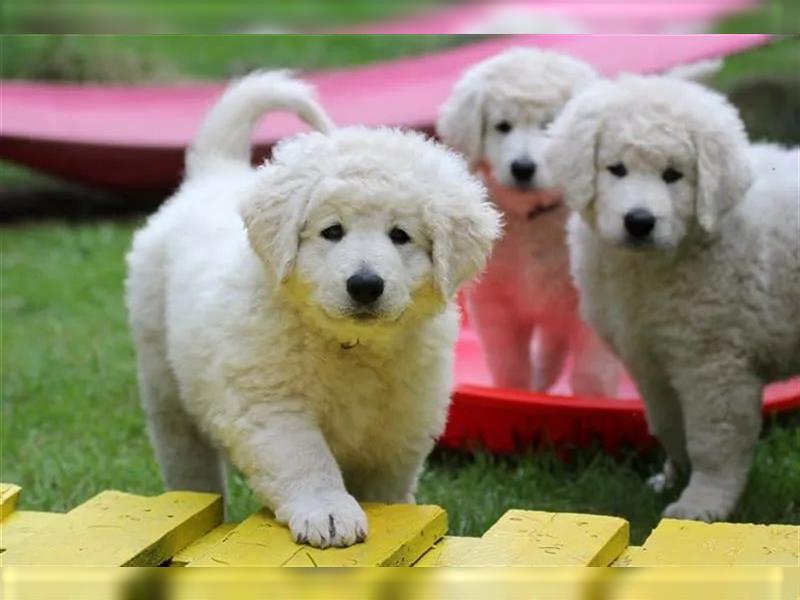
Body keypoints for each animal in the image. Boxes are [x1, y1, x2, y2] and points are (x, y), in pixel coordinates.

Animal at [125, 71, 500, 548]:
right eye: (332, 231)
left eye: (400, 235)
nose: (365, 285)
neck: (349, 345)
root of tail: (213, 175)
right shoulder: (273, 403)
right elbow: (305, 460)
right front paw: (328, 512)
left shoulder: (401, 424)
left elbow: (390, 489)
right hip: (163, 379)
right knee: (187, 458)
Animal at [438, 47, 620, 394]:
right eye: (502, 126)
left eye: (549, 125)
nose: (522, 168)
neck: (533, 218)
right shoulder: (497, 303)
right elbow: (509, 366)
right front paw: (518, 392)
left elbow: (591, 374)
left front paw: (592, 399)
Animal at [548, 75, 800, 520]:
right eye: (617, 169)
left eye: (673, 175)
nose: (639, 221)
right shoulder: (649, 359)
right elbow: (667, 423)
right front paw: (671, 479)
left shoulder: (714, 363)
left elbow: (712, 441)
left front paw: (701, 505)